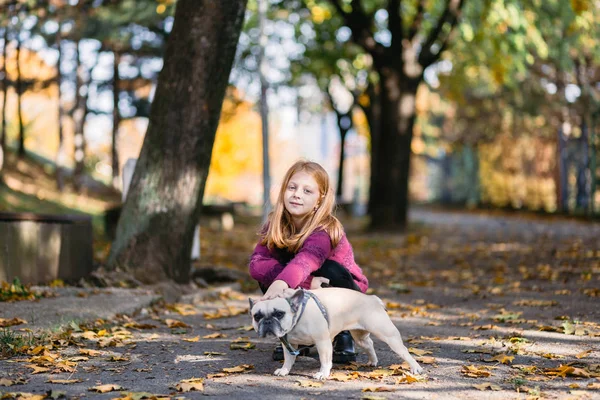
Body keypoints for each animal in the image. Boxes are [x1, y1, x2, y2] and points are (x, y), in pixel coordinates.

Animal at [248, 288, 422, 378]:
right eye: (257, 316)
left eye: (279, 314)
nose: (267, 322)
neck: (297, 317)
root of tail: (371, 298)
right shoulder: (289, 345)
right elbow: (288, 359)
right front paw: (284, 370)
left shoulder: (322, 341)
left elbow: (325, 360)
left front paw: (322, 374)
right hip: (359, 336)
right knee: (369, 343)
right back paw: (372, 361)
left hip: (387, 334)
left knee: (403, 351)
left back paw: (416, 368)